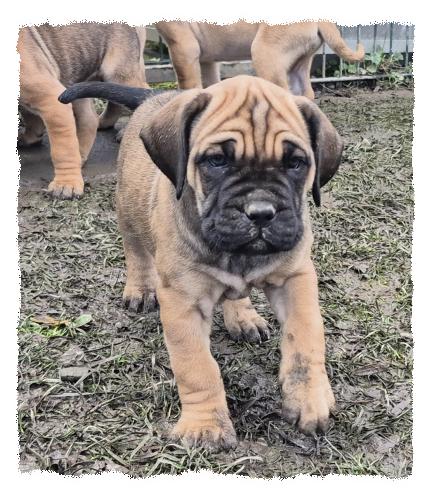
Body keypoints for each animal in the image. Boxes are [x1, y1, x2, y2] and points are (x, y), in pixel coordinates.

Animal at [18, 23, 148, 199]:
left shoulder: (51, 99)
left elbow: (63, 149)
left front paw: (66, 184)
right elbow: (31, 116)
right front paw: (30, 137)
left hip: (119, 73)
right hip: (76, 85)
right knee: (91, 117)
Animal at [59, 75, 343, 449]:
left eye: (295, 163)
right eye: (216, 161)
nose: (261, 212)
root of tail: (154, 96)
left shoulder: (295, 278)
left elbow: (305, 340)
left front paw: (309, 397)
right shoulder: (183, 302)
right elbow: (196, 366)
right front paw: (205, 424)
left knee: (236, 294)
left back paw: (244, 317)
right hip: (128, 208)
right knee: (135, 250)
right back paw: (140, 288)